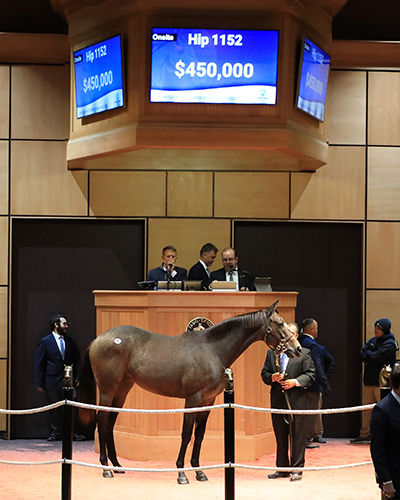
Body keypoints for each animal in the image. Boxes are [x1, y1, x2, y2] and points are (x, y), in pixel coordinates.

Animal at [79, 298, 300, 482]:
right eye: (280, 323)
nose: (297, 348)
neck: (212, 350)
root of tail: (98, 339)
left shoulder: (208, 401)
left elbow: (199, 434)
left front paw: (199, 471)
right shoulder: (192, 399)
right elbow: (186, 433)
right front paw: (181, 472)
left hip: (122, 390)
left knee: (109, 424)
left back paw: (117, 466)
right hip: (107, 390)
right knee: (102, 421)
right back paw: (105, 468)